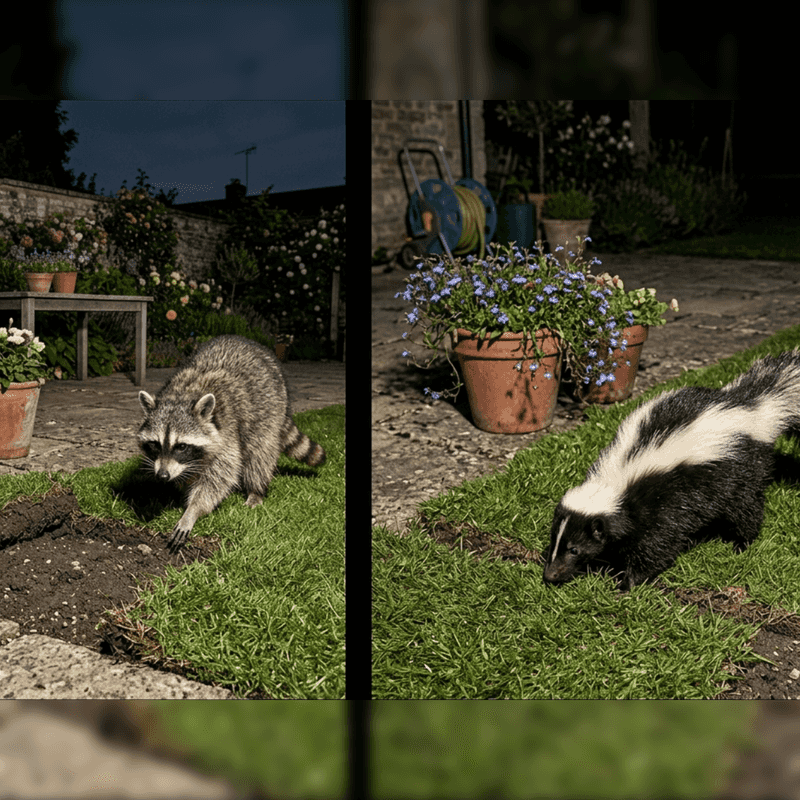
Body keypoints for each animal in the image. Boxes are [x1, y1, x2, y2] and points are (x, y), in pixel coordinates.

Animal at [138, 334, 325, 550]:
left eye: (182, 446)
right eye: (155, 444)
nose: (162, 476)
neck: (182, 395)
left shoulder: (226, 433)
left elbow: (219, 477)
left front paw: (193, 510)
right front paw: (179, 485)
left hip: (268, 410)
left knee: (260, 452)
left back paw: (256, 489)